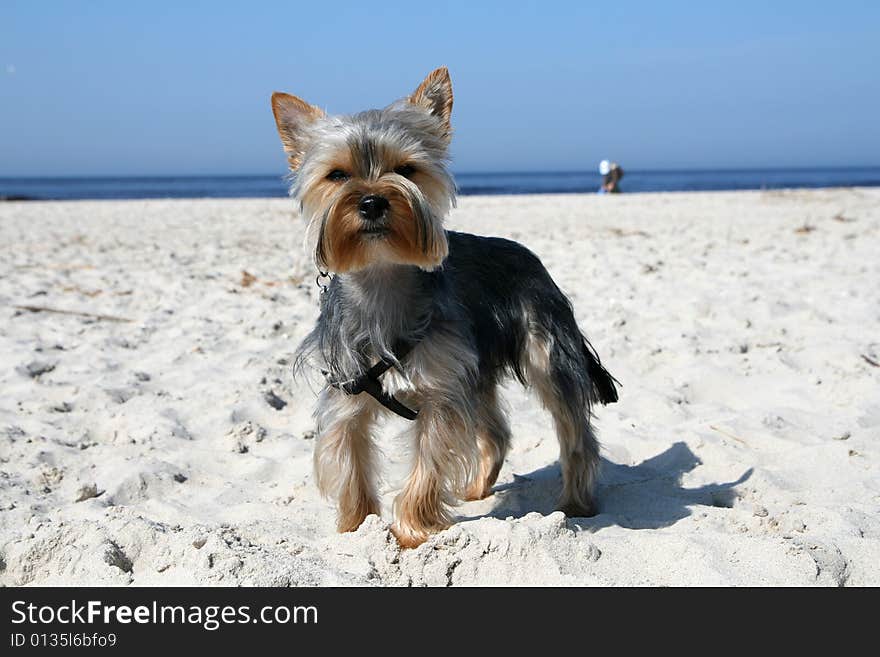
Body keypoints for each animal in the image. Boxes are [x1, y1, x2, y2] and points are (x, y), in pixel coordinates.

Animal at [270, 68, 620, 548]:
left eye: (406, 169)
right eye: (337, 175)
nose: (371, 201)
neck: (382, 280)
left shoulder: (440, 392)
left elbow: (428, 463)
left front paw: (412, 530)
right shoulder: (347, 395)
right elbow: (351, 462)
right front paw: (356, 527)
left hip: (545, 347)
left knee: (574, 430)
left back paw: (577, 503)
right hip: (476, 370)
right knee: (496, 432)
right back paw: (476, 489)